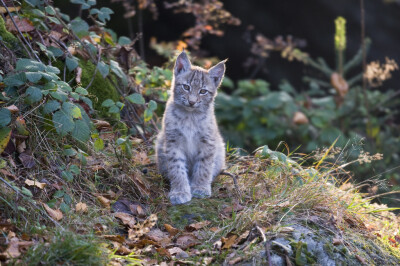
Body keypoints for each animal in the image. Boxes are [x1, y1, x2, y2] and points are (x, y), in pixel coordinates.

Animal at [155, 52, 227, 206]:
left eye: (203, 91)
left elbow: (204, 166)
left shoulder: (208, 142)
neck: (190, 115)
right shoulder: (173, 141)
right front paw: (180, 191)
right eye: (186, 87)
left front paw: (200, 188)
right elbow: (177, 168)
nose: (192, 102)